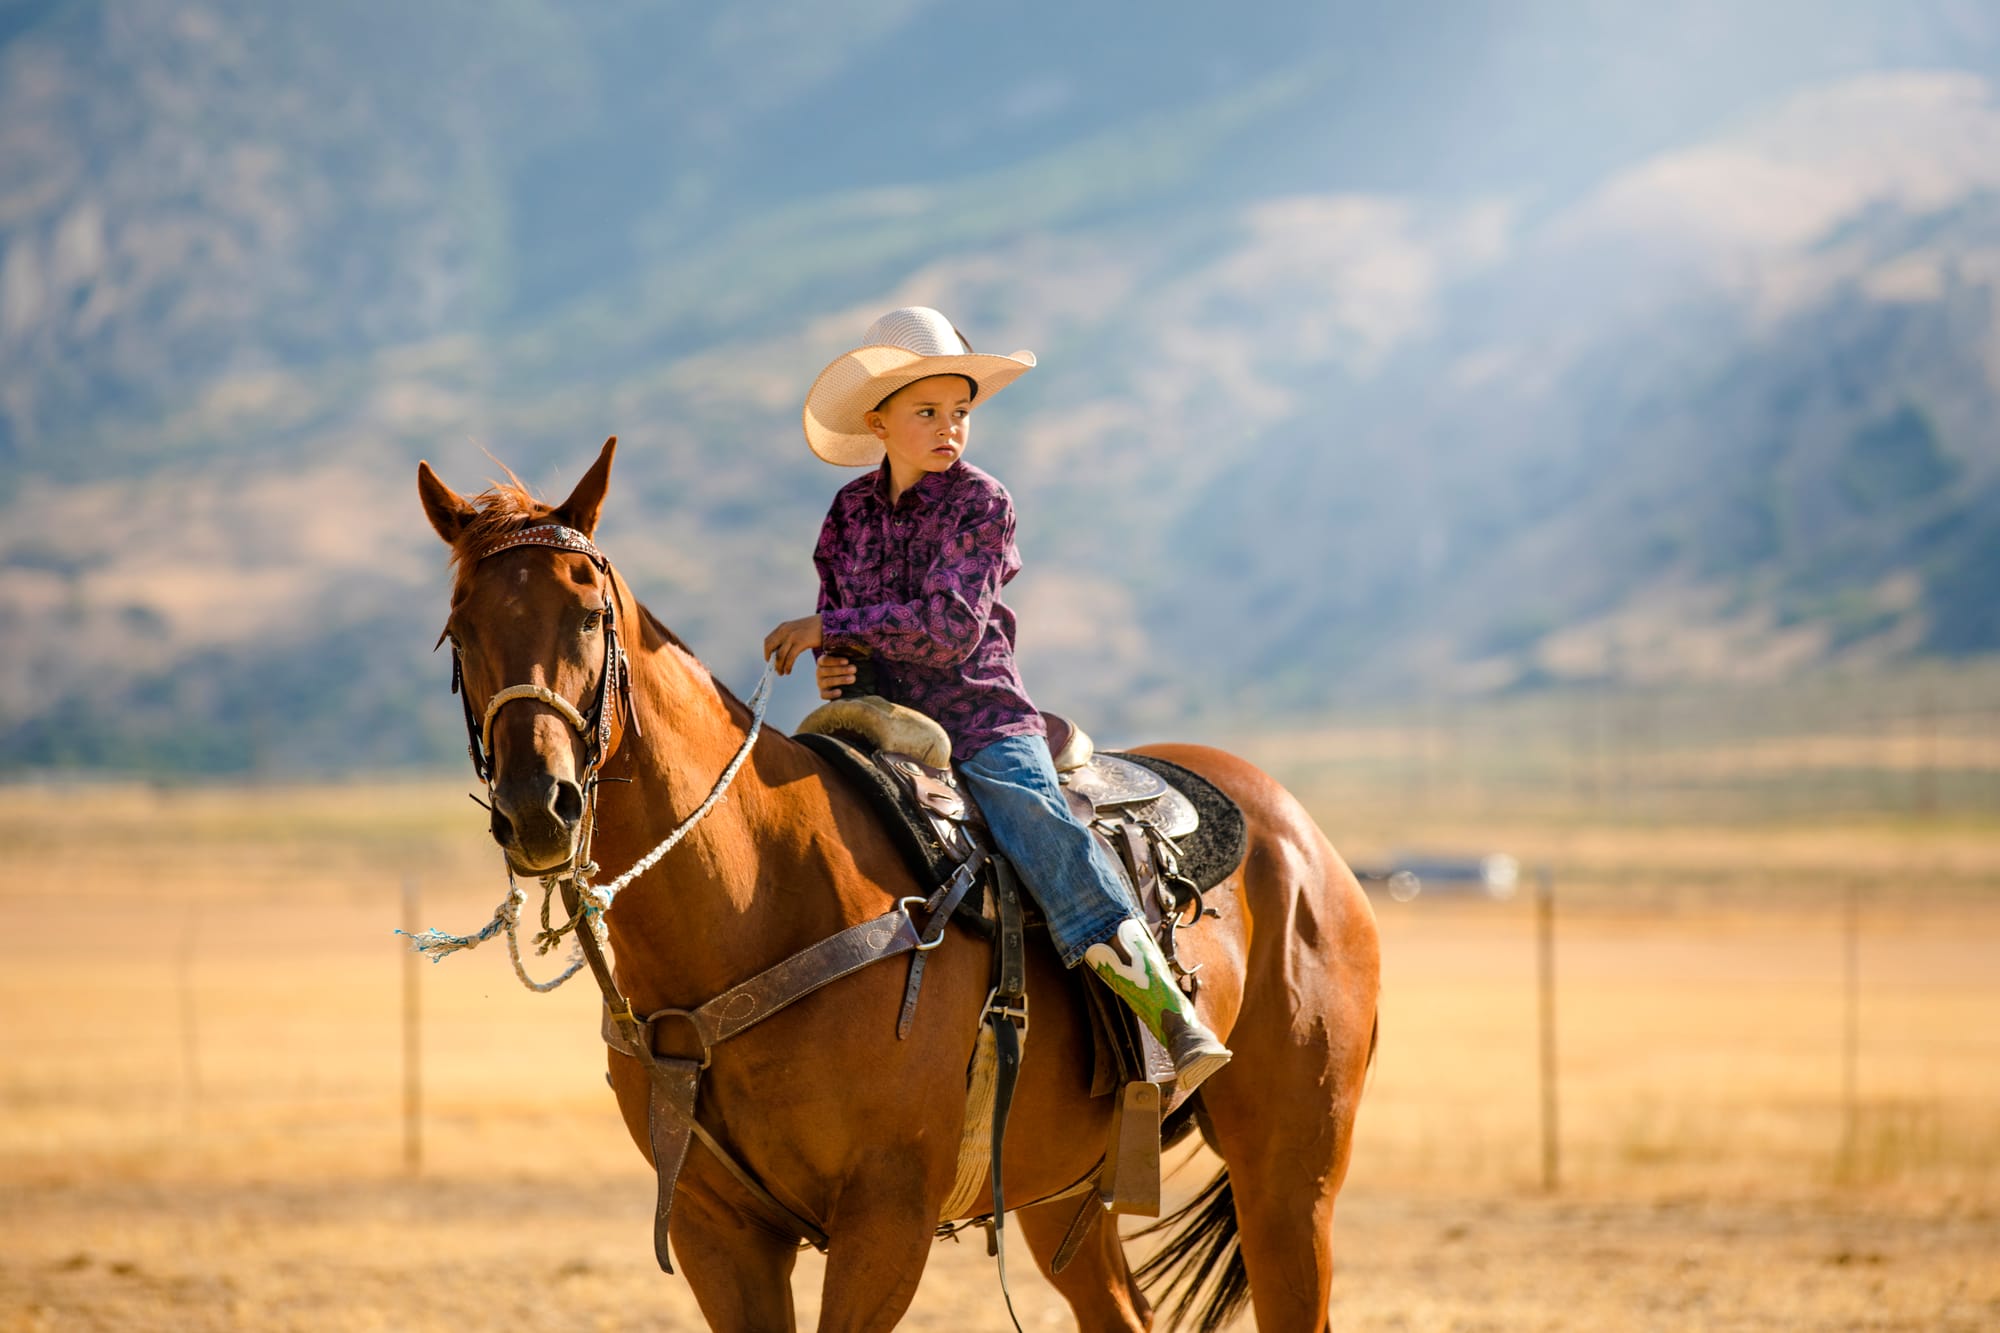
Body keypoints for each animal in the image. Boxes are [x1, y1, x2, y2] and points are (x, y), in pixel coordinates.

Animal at [414, 438, 1384, 1328]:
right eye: (459, 630)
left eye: (589, 612)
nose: (538, 805)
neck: (758, 900)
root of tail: (1304, 841)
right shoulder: (712, 1228)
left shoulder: (885, 1220)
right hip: (1067, 1192)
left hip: (1291, 1176)